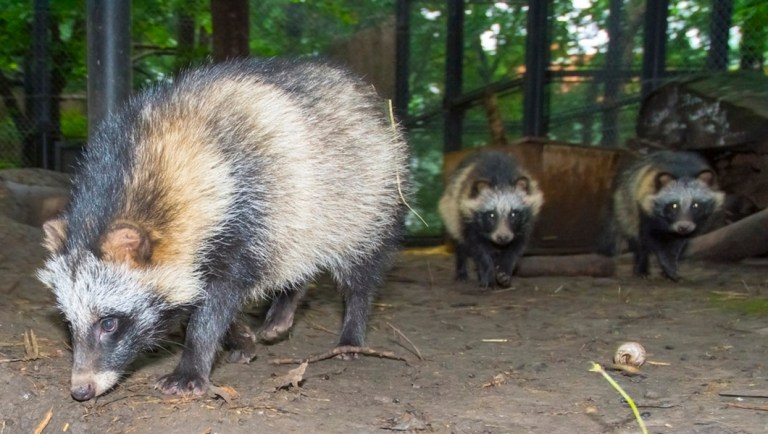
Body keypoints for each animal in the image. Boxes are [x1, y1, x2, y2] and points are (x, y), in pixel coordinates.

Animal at [36, 58, 410, 401]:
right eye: (68, 323)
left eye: (109, 322)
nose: (81, 390)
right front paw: (237, 335)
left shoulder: (246, 211)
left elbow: (217, 301)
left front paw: (194, 358)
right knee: (295, 254)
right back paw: (286, 304)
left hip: (369, 194)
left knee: (361, 264)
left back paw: (351, 329)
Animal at [438, 150, 544, 288]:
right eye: (491, 215)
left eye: (513, 214)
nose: (503, 237)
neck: (501, 178)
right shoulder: (468, 219)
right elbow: (478, 249)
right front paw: (487, 273)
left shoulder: (525, 223)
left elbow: (516, 248)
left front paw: (505, 270)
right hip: (451, 212)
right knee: (460, 243)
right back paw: (462, 271)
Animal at [603, 150, 724, 280]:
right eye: (674, 205)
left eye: (695, 205)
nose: (684, 227)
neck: (684, 171)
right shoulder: (645, 209)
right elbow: (653, 239)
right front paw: (668, 265)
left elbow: (678, 244)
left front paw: (671, 266)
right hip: (625, 207)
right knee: (637, 238)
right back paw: (641, 265)